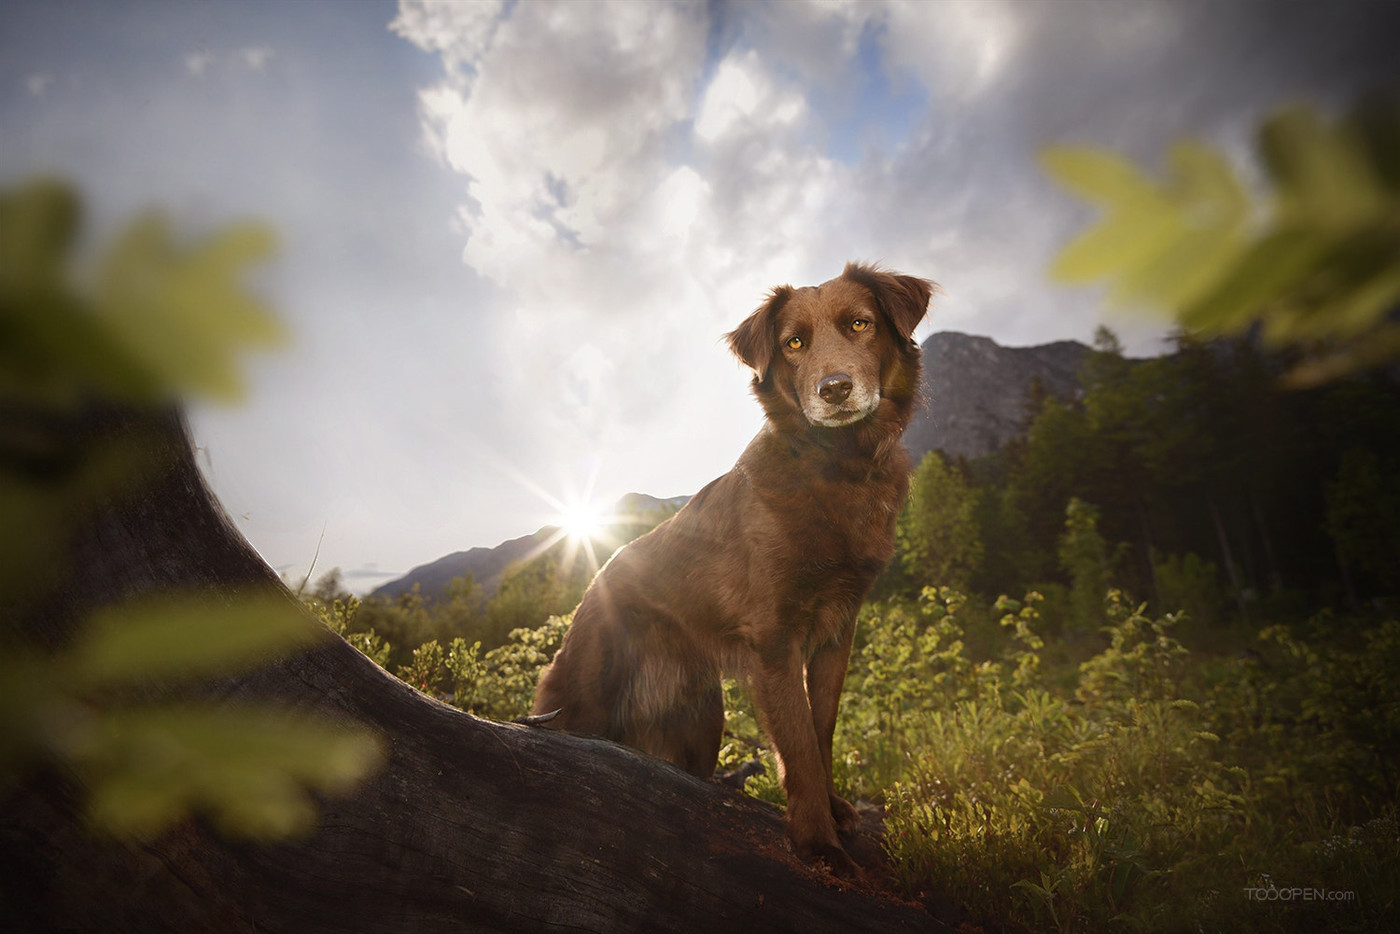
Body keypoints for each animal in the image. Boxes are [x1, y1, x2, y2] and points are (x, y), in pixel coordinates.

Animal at [529, 261, 935, 868]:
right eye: (794, 343)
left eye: (860, 324)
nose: (835, 389)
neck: (836, 468)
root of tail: (595, 581)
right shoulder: (774, 640)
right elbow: (797, 741)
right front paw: (818, 841)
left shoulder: (838, 630)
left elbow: (822, 729)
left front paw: (835, 811)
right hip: (587, 694)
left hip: (702, 718)